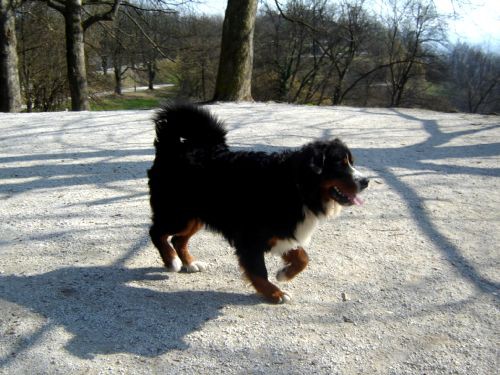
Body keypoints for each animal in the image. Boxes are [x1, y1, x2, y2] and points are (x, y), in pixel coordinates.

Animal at [147, 104, 368, 304]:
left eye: (351, 162)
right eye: (340, 164)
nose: (366, 181)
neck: (295, 185)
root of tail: (172, 147)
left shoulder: (283, 231)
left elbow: (302, 258)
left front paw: (284, 274)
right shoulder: (251, 237)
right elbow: (259, 271)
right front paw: (275, 293)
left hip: (196, 216)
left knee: (178, 240)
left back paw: (190, 263)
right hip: (178, 214)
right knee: (157, 232)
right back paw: (172, 261)